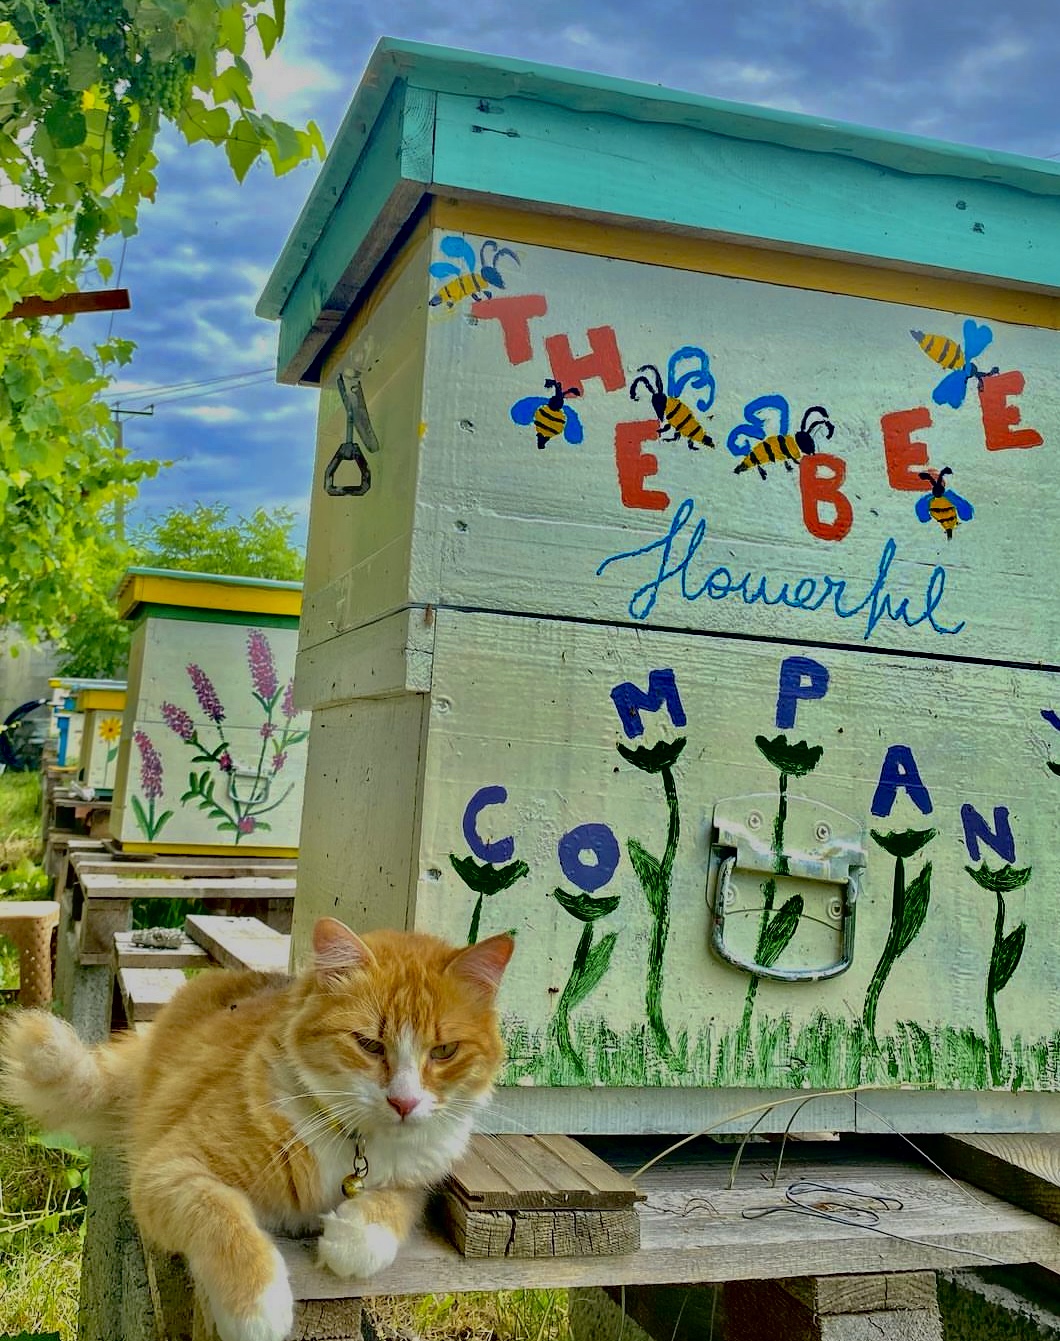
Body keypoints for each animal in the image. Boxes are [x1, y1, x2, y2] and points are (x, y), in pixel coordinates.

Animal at [1, 917, 514, 1341]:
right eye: (368, 1044)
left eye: (444, 1051)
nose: (404, 1103)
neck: (354, 1140)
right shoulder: (170, 1168)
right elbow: (222, 1217)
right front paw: (257, 1307)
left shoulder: (423, 1173)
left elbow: (396, 1202)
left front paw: (353, 1239)